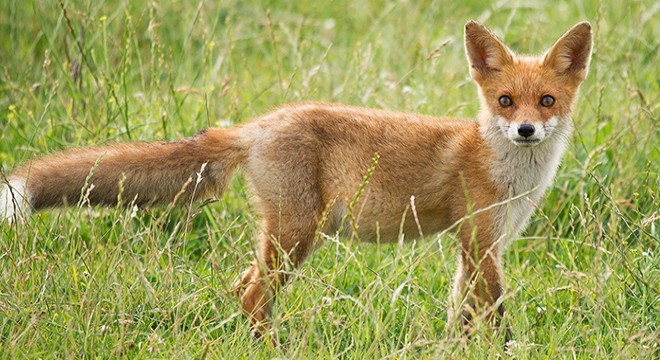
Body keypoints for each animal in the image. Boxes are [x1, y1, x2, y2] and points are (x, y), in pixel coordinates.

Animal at [0, 20, 592, 340]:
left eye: (546, 101)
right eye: (505, 101)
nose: (525, 130)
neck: (507, 172)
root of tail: (260, 123)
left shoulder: (479, 245)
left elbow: (464, 314)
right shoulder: (479, 240)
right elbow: (496, 314)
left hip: (281, 237)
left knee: (240, 288)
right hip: (296, 235)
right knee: (252, 295)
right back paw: (271, 346)